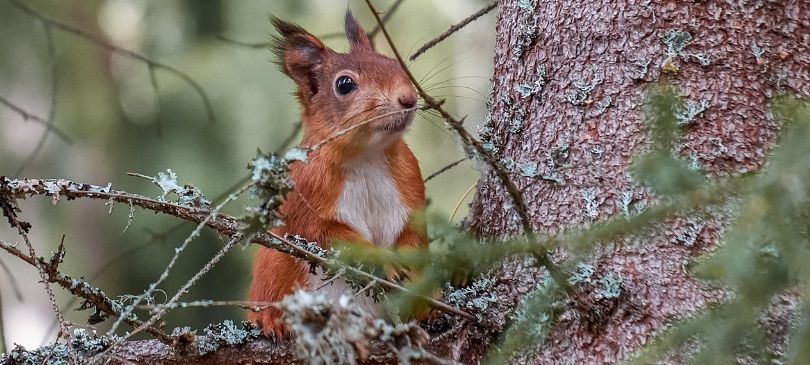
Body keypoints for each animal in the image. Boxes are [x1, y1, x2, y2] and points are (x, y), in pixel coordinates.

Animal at [246, 11, 426, 334]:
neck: (366, 156)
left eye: (393, 62)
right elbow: (328, 236)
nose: (408, 98)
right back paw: (271, 321)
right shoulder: (305, 193)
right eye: (344, 84)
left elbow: (414, 232)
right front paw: (386, 262)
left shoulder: (410, 181)